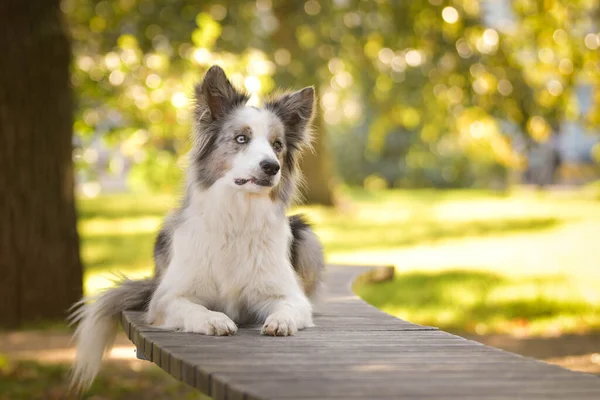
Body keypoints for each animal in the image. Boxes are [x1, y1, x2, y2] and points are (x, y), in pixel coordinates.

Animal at [69, 65, 324, 390]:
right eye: (241, 139)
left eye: (277, 145)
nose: (271, 167)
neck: (236, 218)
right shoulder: (167, 299)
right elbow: (193, 307)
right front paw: (214, 320)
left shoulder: (288, 295)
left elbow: (291, 307)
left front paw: (281, 321)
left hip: (307, 234)